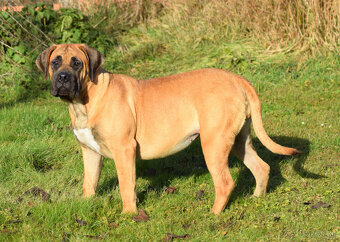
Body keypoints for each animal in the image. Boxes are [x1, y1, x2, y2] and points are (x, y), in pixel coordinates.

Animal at [35, 43, 298, 214]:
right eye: (55, 62)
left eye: (77, 63)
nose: (63, 78)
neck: (84, 101)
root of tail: (236, 78)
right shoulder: (90, 151)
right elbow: (89, 182)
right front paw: (86, 205)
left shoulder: (124, 150)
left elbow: (126, 186)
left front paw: (129, 215)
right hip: (238, 140)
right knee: (261, 167)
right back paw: (257, 198)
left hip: (213, 143)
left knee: (225, 182)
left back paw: (213, 214)